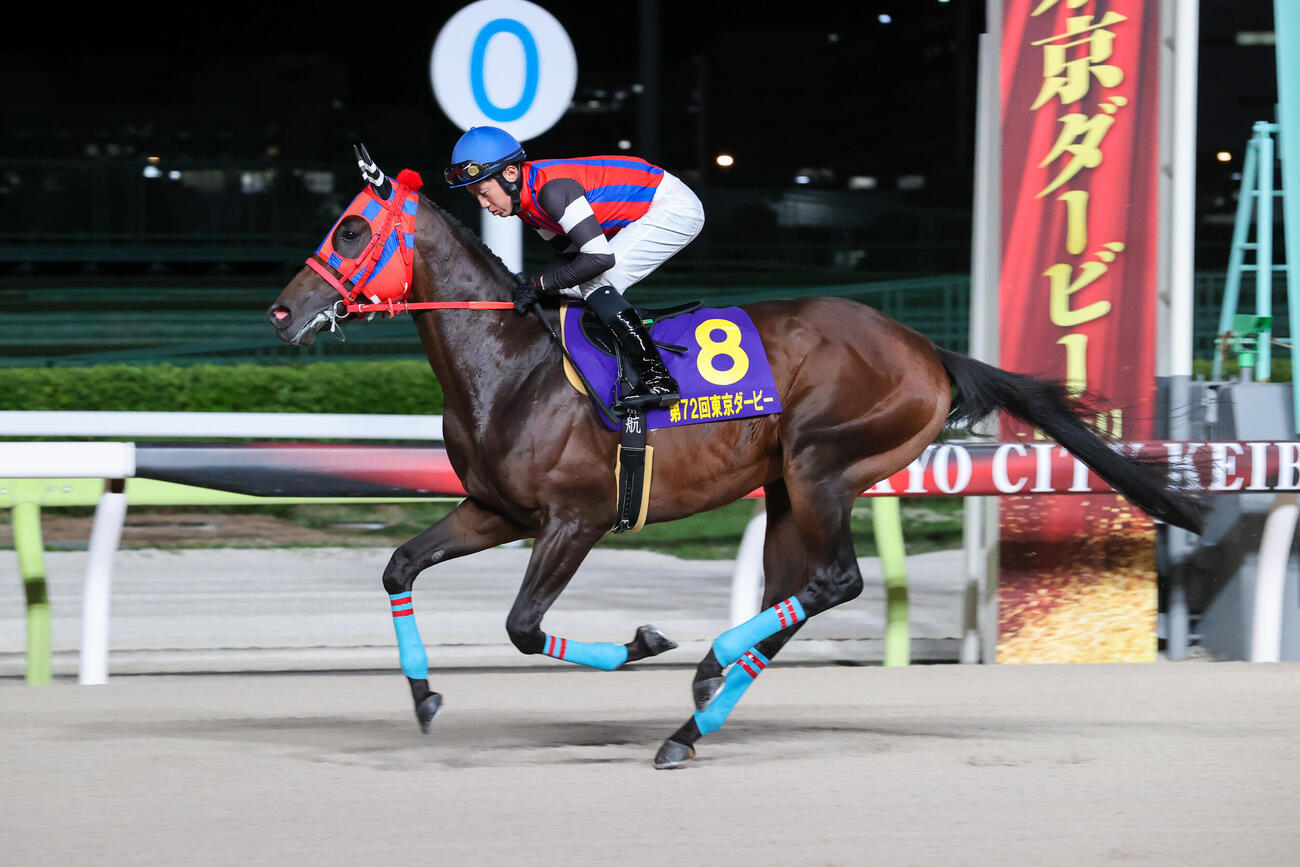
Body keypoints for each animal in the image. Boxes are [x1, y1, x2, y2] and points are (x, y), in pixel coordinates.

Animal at [267, 148, 1204, 769]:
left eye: (350, 228)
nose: (281, 312)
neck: (513, 363)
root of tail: (930, 353)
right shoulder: (496, 509)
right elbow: (399, 565)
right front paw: (424, 695)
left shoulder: (575, 518)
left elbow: (524, 627)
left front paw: (643, 639)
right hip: (790, 483)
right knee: (800, 591)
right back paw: (703, 702)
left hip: (826, 463)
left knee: (835, 582)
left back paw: (701, 689)